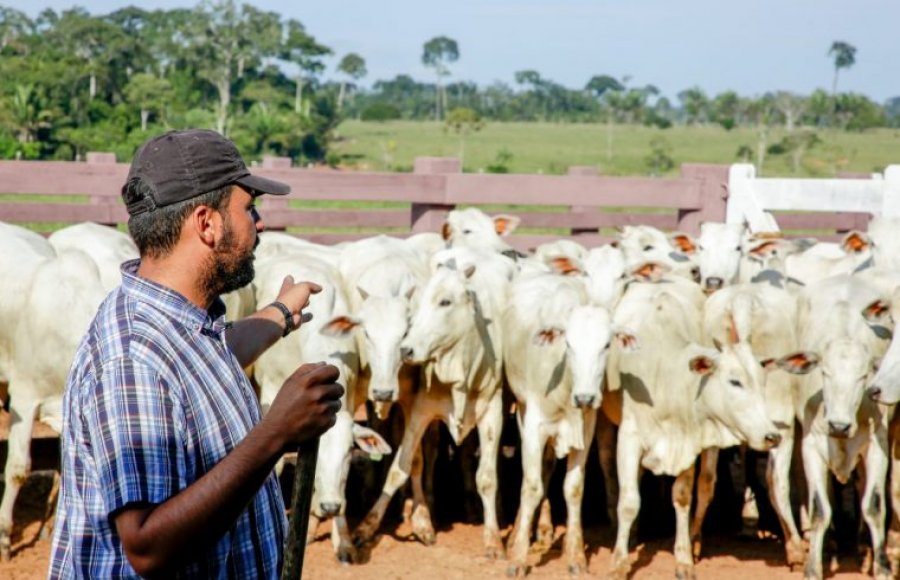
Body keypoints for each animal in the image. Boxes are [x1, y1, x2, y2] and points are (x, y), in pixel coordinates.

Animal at [354, 248, 510, 556]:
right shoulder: (420, 411)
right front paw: (368, 526)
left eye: (445, 301)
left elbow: (487, 478)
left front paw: (493, 538)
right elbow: (401, 467)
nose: (407, 350)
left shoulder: (493, 411)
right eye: (419, 302)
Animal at [502, 276, 636, 576]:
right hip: (523, 412)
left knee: (548, 466)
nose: (585, 397)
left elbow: (573, 488)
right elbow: (531, 486)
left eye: (606, 345)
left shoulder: (585, 430)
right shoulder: (534, 426)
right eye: (570, 345)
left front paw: (575, 555)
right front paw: (518, 557)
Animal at [604, 272, 788, 580]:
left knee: (705, 486)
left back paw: (696, 539)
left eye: (762, 382)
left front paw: (683, 558)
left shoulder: (687, 441)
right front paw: (619, 562)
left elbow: (682, 497)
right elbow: (628, 501)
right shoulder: (629, 438)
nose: (772, 436)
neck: (664, 373)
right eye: (734, 381)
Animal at [796, 276, 892, 580]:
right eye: (824, 372)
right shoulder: (811, 447)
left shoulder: (877, 446)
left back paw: (862, 547)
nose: (838, 425)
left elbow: (873, 506)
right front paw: (812, 567)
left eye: (863, 376)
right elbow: (819, 510)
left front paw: (882, 566)